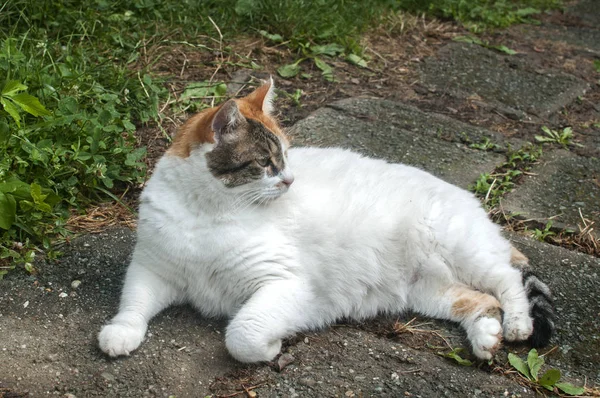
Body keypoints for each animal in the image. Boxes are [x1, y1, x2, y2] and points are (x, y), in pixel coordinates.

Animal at [97, 78, 552, 364]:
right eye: (266, 162)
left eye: (286, 157)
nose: (290, 180)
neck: (207, 214)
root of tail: (474, 203)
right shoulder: (151, 269)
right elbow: (133, 303)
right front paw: (122, 332)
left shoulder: (284, 284)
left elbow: (241, 334)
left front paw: (270, 349)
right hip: (428, 292)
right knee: (480, 301)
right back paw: (486, 338)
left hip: (462, 250)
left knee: (506, 281)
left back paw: (516, 325)